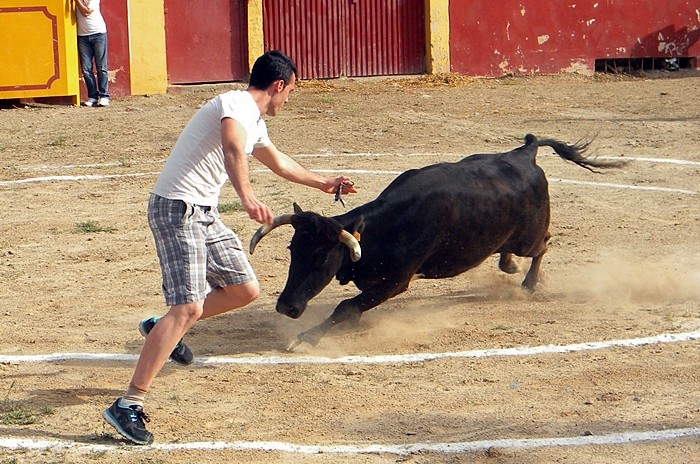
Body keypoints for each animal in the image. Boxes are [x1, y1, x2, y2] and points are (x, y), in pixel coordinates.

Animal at [250, 133, 624, 348]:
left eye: (322, 257)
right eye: (293, 250)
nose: (286, 306)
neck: (382, 230)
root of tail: (524, 153)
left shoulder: (395, 282)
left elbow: (346, 307)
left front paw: (306, 339)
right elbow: (351, 307)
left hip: (527, 237)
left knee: (543, 244)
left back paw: (529, 283)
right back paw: (509, 266)